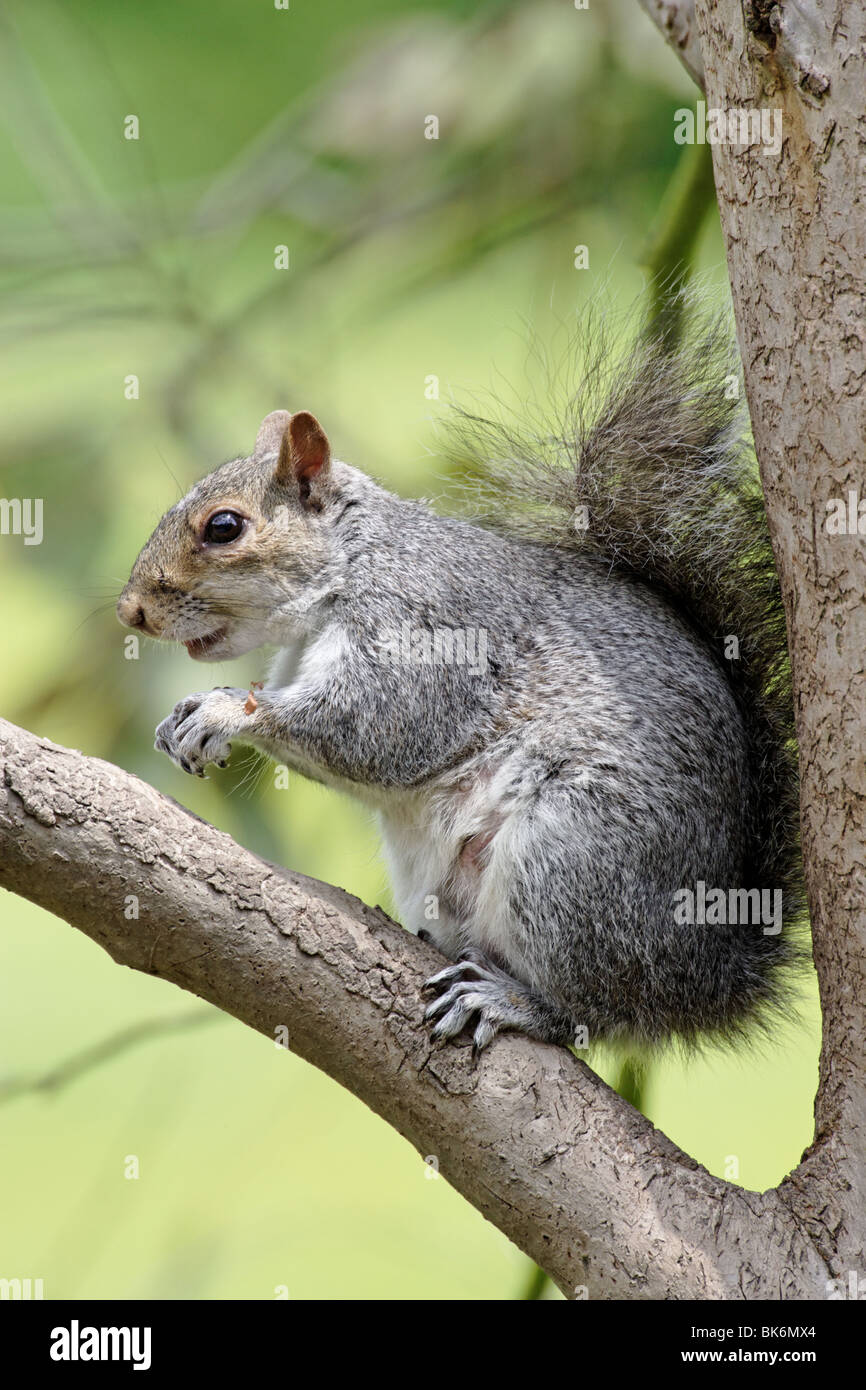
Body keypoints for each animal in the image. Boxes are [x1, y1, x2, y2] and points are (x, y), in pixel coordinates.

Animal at [115, 304, 806, 1050]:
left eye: (224, 527)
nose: (131, 611)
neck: (353, 563)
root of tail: (710, 973)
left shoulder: (428, 626)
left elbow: (373, 729)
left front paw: (222, 712)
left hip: (573, 856)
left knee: (597, 1009)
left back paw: (514, 1000)